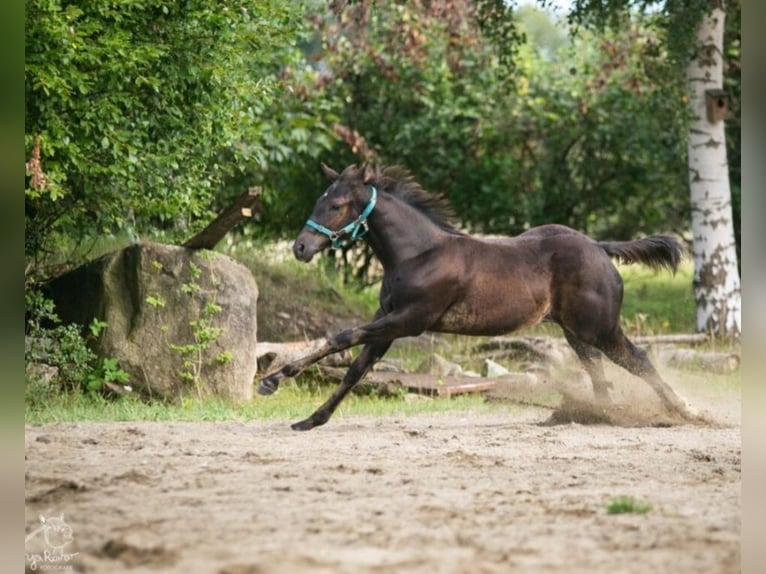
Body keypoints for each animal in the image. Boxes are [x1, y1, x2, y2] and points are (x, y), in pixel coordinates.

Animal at [258, 163, 696, 431]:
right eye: (320, 200)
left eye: (336, 204)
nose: (300, 247)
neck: (418, 254)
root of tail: (600, 248)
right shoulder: (388, 324)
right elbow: (354, 369)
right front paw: (311, 419)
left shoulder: (409, 321)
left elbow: (341, 338)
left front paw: (273, 378)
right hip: (577, 333)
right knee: (600, 373)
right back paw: (600, 414)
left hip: (599, 328)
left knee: (638, 360)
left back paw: (682, 411)